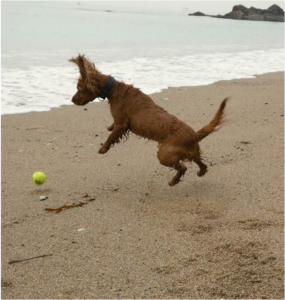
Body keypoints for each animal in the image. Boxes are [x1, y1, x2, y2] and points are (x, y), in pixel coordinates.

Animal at [70, 54, 227, 185]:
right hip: (190, 151)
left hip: (164, 154)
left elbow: (112, 136)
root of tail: (194, 135)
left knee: (182, 167)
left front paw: (103, 148)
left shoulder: (122, 124)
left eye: (79, 88)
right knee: (200, 161)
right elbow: (112, 128)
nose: (71, 100)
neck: (113, 89)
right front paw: (109, 127)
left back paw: (174, 181)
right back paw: (200, 171)